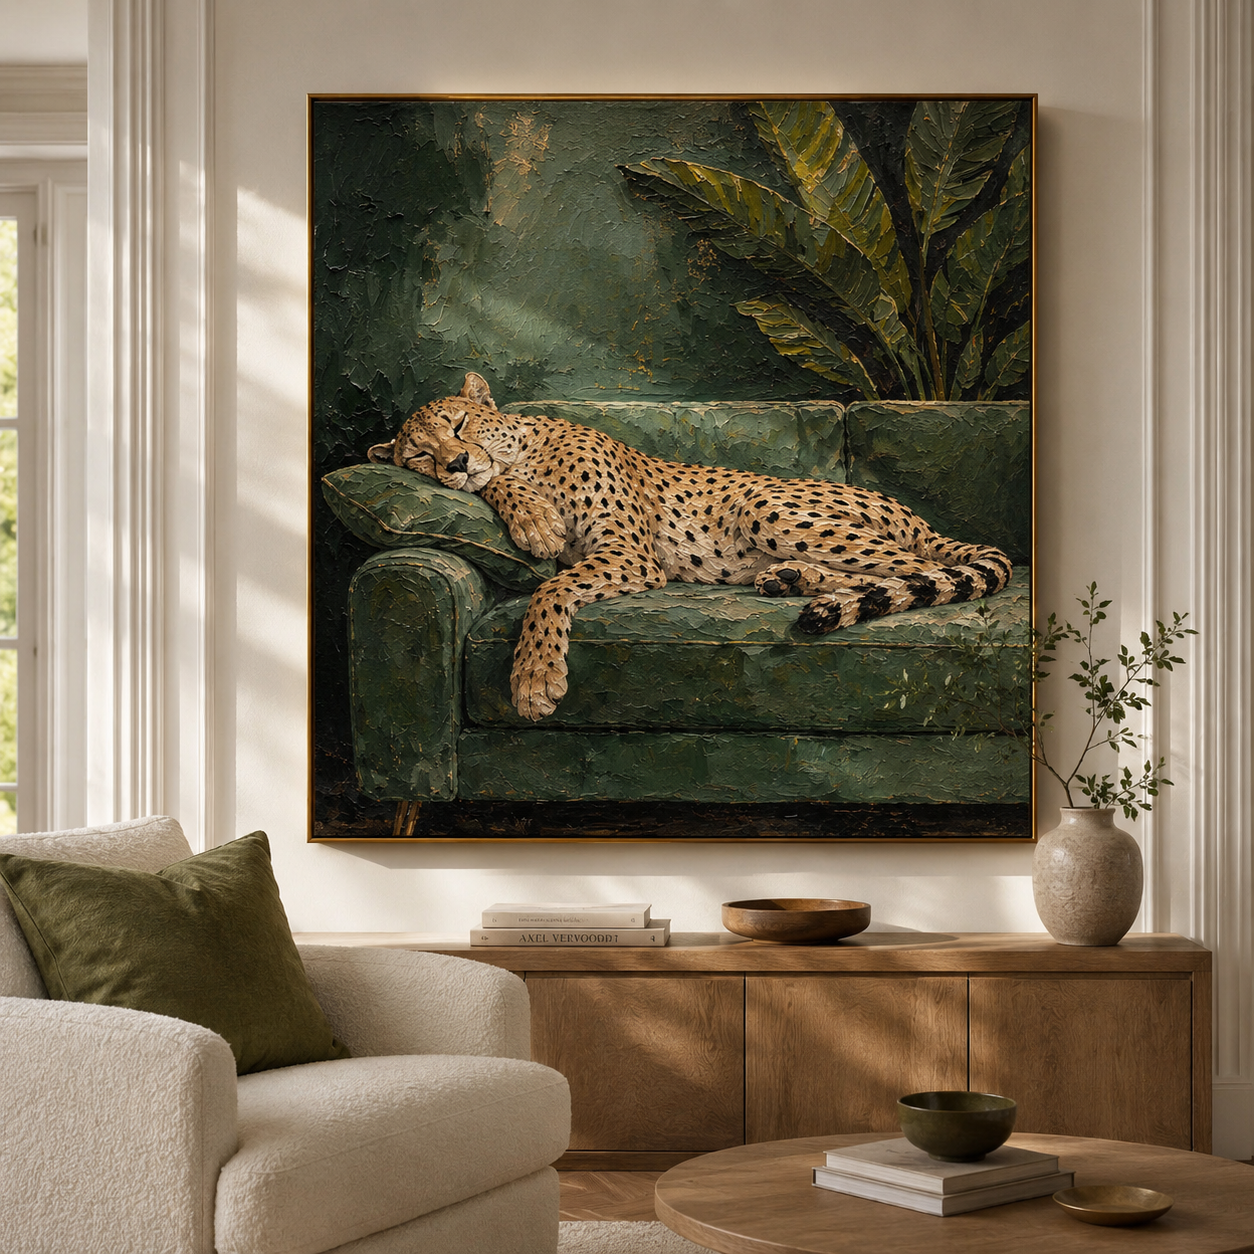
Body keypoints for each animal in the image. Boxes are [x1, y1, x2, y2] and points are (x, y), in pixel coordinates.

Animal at [367, 372, 1013, 722]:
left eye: (457, 425)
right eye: (418, 454)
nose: (454, 462)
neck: (530, 452)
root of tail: (910, 512)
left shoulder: (629, 554)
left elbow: (550, 590)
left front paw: (533, 677)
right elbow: (506, 496)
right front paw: (533, 519)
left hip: (764, 503)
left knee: (917, 568)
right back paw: (793, 580)